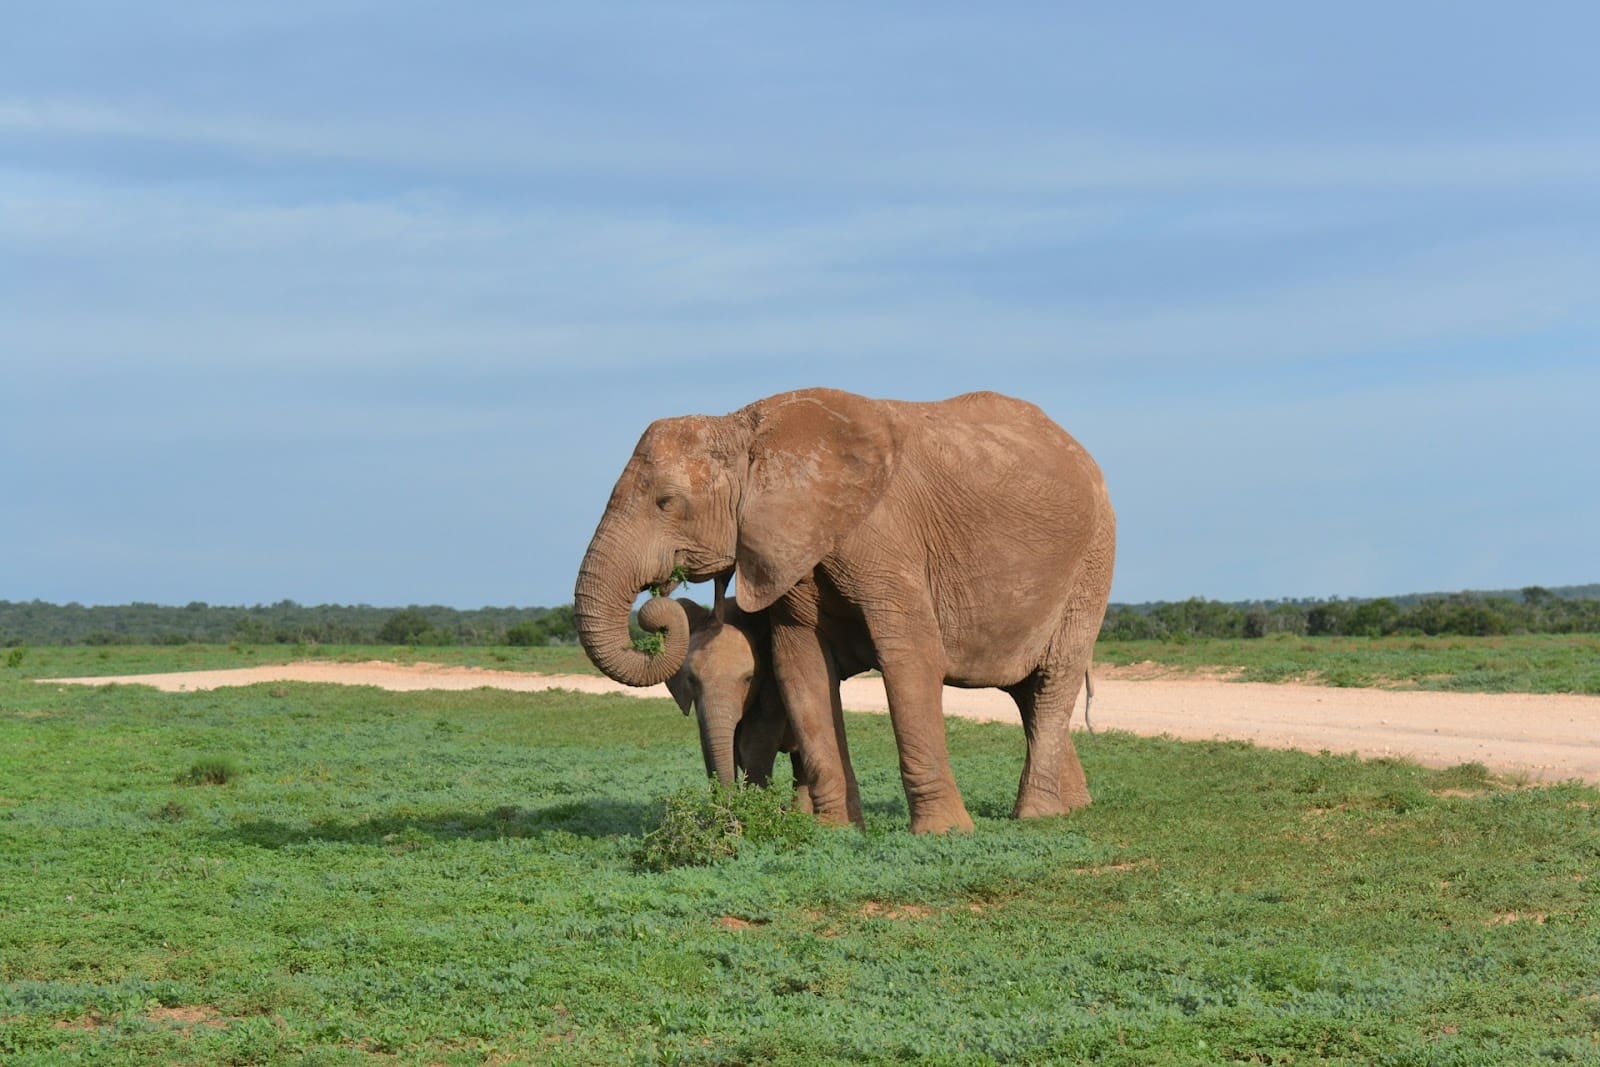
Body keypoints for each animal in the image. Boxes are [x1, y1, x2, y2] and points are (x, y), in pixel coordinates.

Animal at [572, 391, 1113, 831]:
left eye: (667, 502)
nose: (656, 603)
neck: (749, 431)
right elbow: (800, 666)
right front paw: (836, 830)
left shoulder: (886, 536)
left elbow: (911, 658)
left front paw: (944, 833)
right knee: (1028, 690)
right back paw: (1073, 807)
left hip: (1092, 561)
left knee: (1054, 677)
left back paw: (1036, 816)